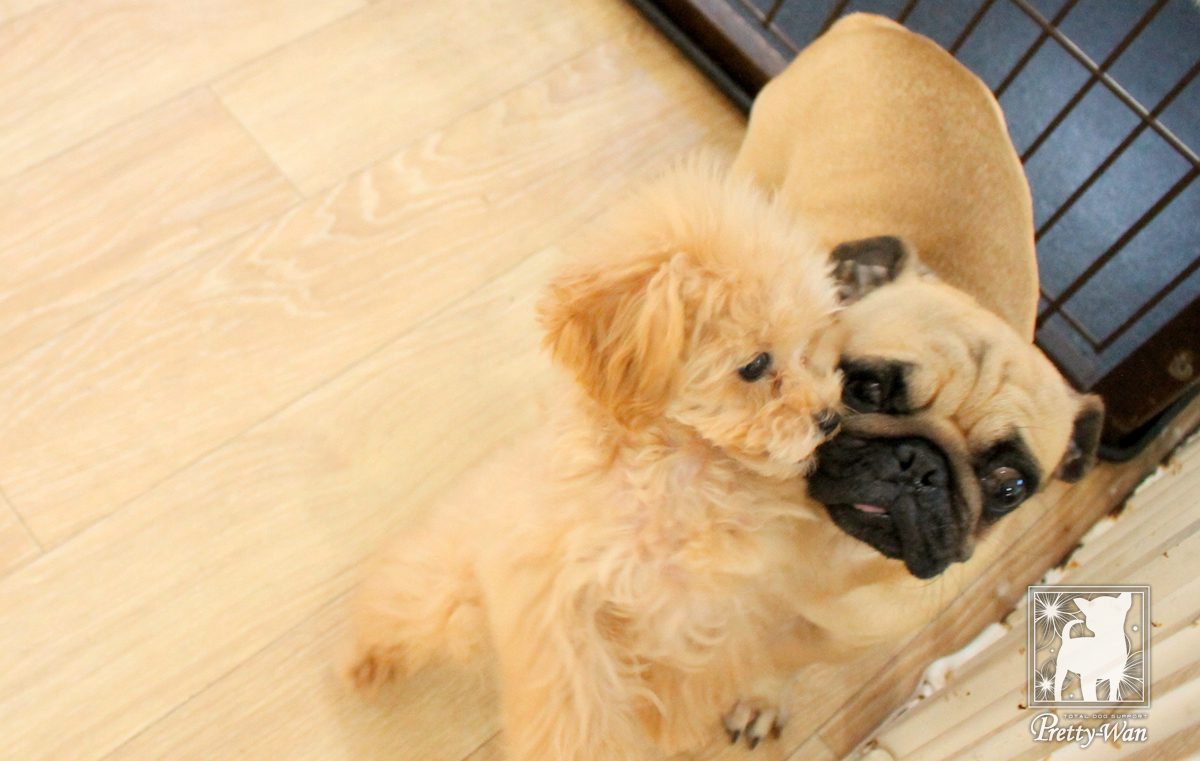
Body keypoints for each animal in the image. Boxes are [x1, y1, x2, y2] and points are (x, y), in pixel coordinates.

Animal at [344, 157, 863, 759]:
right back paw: (367, 659)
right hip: (451, 582)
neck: (676, 471)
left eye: (809, 349)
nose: (828, 419)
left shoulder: (705, 610)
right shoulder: (559, 600)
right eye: (755, 366)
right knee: (404, 598)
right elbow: (575, 712)